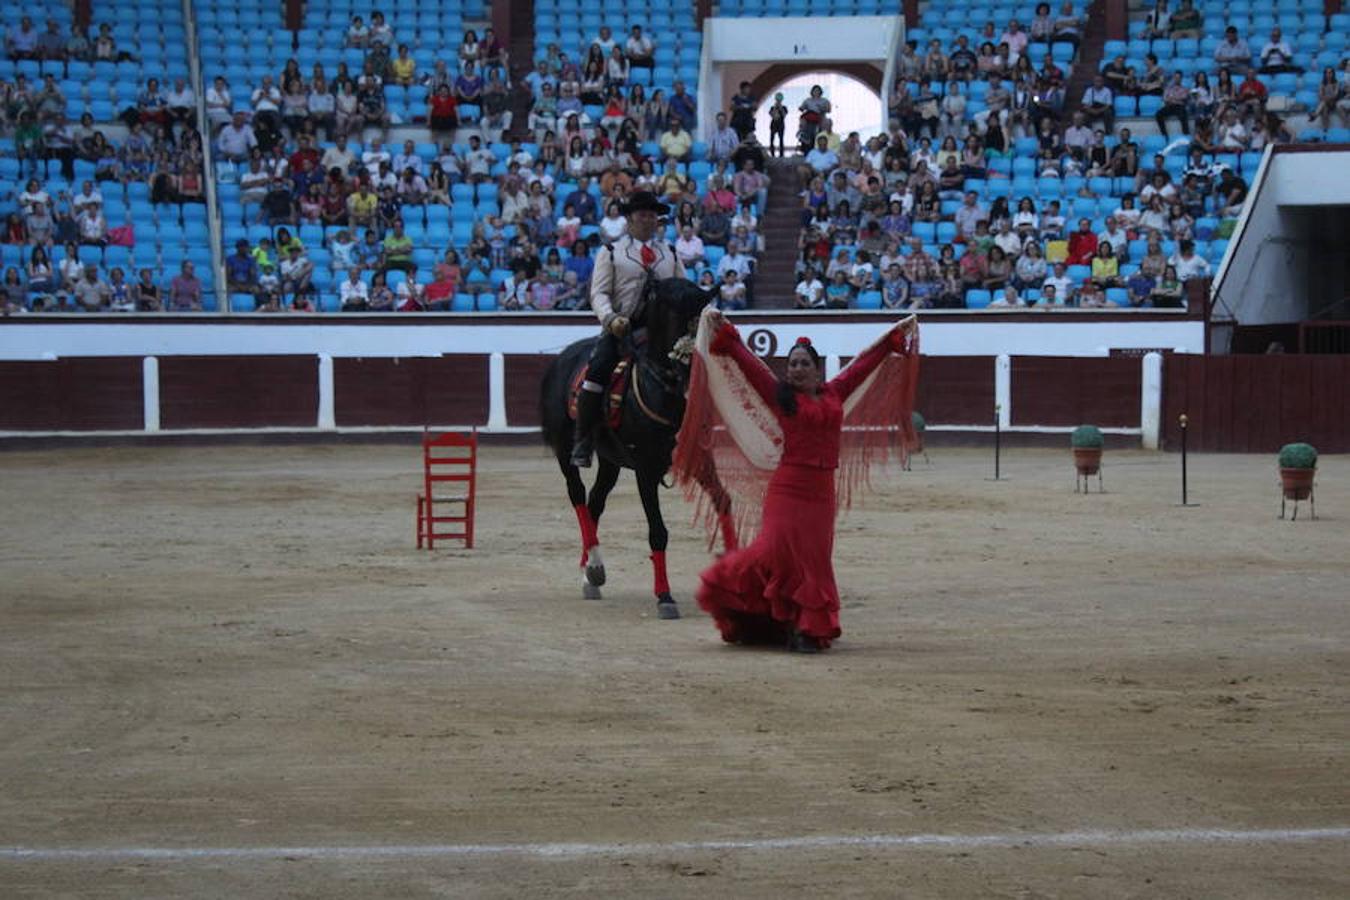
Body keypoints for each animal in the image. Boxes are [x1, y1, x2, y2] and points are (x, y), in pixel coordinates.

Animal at [540, 277, 739, 620]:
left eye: (702, 320)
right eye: (673, 318)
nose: (690, 372)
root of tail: (563, 357)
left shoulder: (700, 460)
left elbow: (724, 502)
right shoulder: (646, 470)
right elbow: (658, 531)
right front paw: (665, 597)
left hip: (610, 460)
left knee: (595, 503)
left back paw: (590, 572)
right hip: (564, 450)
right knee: (578, 495)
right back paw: (594, 566)